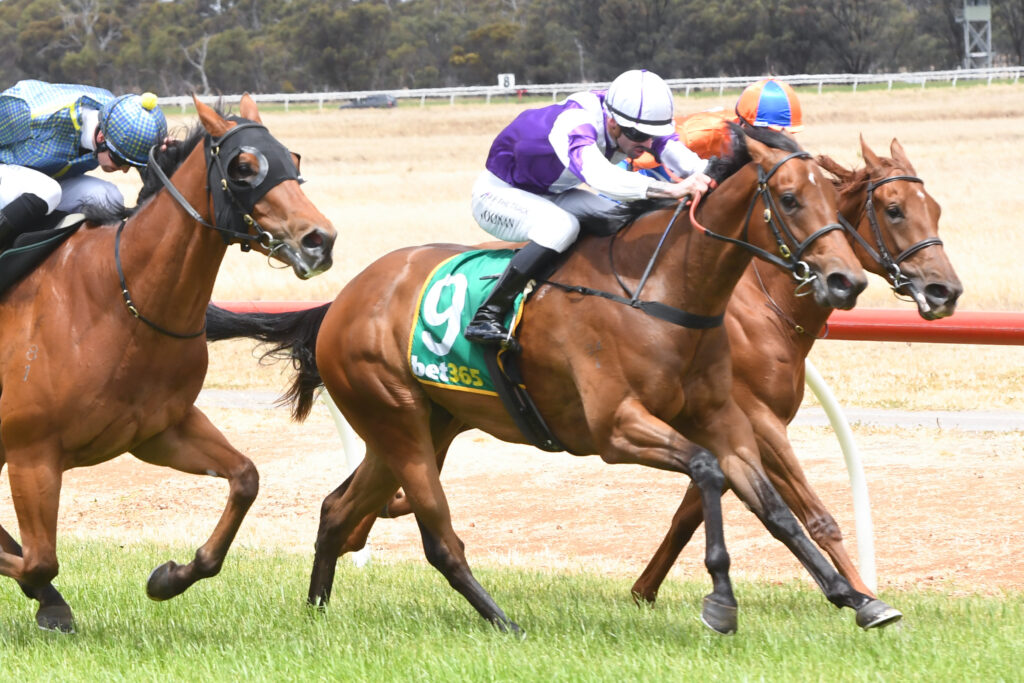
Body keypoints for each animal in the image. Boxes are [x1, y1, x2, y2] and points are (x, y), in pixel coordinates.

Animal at [0, 94, 335, 633]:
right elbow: (39, 560)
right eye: (244, 167)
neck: (123, 301)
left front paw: (170, 577)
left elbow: (245, 478)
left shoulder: (159, 431)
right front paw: (48, 597)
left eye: (293, 159)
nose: (319, 240)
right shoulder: (33, 453)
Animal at [207, 125, 902, 635]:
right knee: (437, 538)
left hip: (420, 427)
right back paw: (502, 622)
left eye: (835, 199)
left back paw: (317, 611)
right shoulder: (616, 429)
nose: (846, 280)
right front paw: (721, 600)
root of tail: (343, 300)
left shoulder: (723, 417)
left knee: (337, 510)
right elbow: (708, 473)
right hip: (397, 421)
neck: (662, 290)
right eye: (789, 199)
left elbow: (775, 507)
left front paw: (857, 598)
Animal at [628, 136, 962, 604]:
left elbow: (690, 513)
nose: (945, 291)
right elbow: (815, 515)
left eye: (934, 208)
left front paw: (643, 590)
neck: (764, 307)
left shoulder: (727, 429)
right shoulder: (759, 421)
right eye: (894, 209)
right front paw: (864, 595)